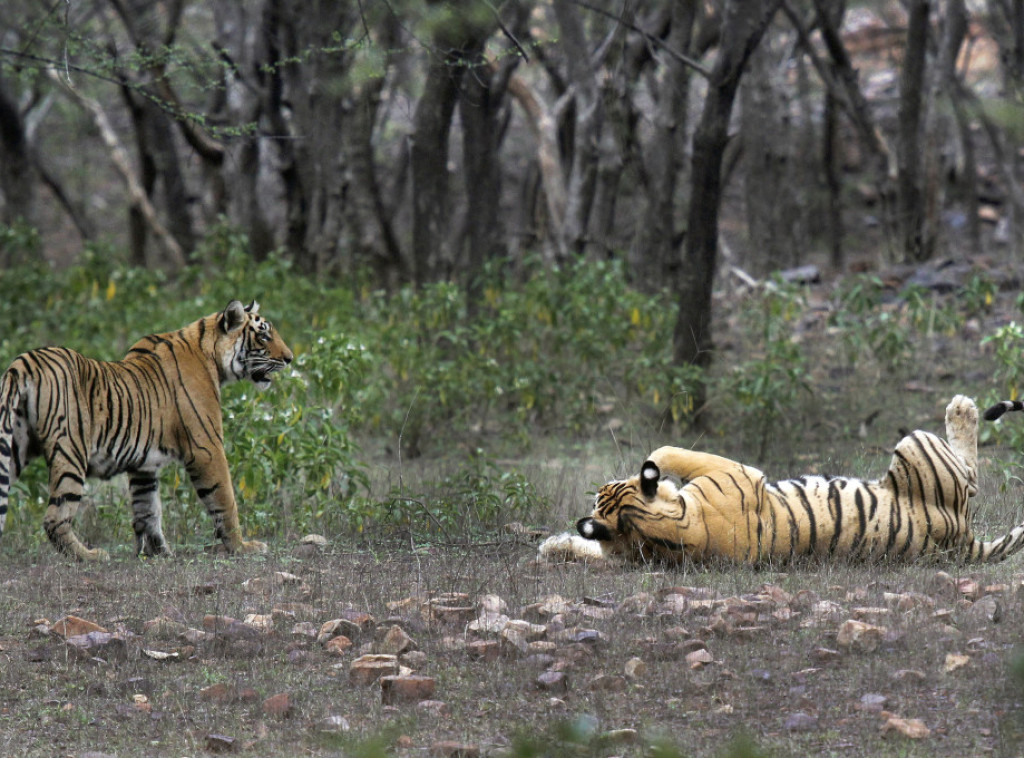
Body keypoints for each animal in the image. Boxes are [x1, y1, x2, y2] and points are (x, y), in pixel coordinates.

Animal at [0, 299, 292, 561]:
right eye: (264, 335)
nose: (289, 358)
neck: (212, 356)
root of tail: (24, 362)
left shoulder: (143, 465)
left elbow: (147, 509)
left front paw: (157, 552)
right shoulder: (207, 448)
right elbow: (225, 500)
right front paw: (242, 547)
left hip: (14, 446)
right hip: (70, 449)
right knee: (55, 517)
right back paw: (90, 555)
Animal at [544, 397, 1024, 561]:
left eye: (601, 494)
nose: (602, 483)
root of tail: (961, 539)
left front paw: (553, 546)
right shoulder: (735, 470)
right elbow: (663, 453)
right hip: (916, 444)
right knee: (971, 473)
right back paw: (962, 407)